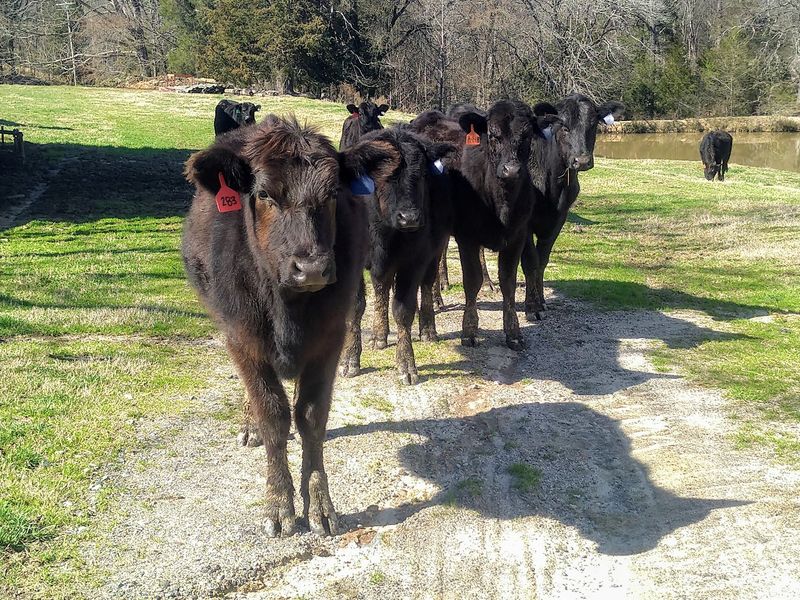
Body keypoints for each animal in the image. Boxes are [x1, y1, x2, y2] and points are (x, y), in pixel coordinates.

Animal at [182, 115, 399, 537]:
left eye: (332, 194)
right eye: (264, 194)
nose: (311, 268)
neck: (288, 308)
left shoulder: (329, 338)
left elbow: (311, 416)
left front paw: (319, 503)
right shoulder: (243, 339)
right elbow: (273, 415)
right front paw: (279, 504)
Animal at [339, 127, 457, 385]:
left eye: (422, 174)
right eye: (382, 176)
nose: (409, 217)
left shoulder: (413, 262)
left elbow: (403, 310)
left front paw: (406, 365)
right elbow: (356, 306)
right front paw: (349, 360)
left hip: (435, 251)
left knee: (427, 285)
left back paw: (428, 330)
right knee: (381, 287)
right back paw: (379, 335)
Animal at [410, 101, 554, 350]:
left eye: (527, 135)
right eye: (494, 135)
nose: (511, 170)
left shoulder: (517, 235)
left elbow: (508, 280)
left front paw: (513, 332)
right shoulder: (468, 236)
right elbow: (472, 281)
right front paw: (469, 330)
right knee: (426, 274)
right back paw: (428, 324)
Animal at [521, 94, 624, 321]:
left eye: (593, 124)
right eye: (564, 126)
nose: (582, 161)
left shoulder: (559, 217)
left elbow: (542, 261)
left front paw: (541, 302)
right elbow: (530, 262)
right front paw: (532, 307)